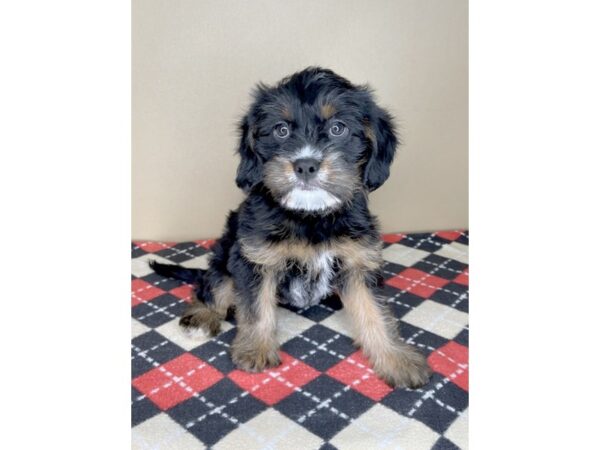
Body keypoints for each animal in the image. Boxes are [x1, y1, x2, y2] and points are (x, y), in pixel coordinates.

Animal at [150, 67, 432, 386]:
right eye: (281, 130)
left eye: (338, 128)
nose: (305, 164)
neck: (310, 215)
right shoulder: (253, 258)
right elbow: (257, 308)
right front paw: (256, 349)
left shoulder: (357, 261)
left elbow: (374, 311)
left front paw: (396, 358)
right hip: (225, 250)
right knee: (212, 284)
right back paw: (203, 315)